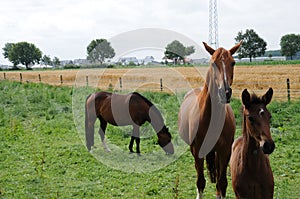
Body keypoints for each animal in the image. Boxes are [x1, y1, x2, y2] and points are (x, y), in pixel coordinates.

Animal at [178, 41, 241, 198]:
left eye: (233, 62)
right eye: (213, 63)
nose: (225, 92)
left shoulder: (225, 151)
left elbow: (222, 183)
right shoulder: (197, 151)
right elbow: (200, 182)